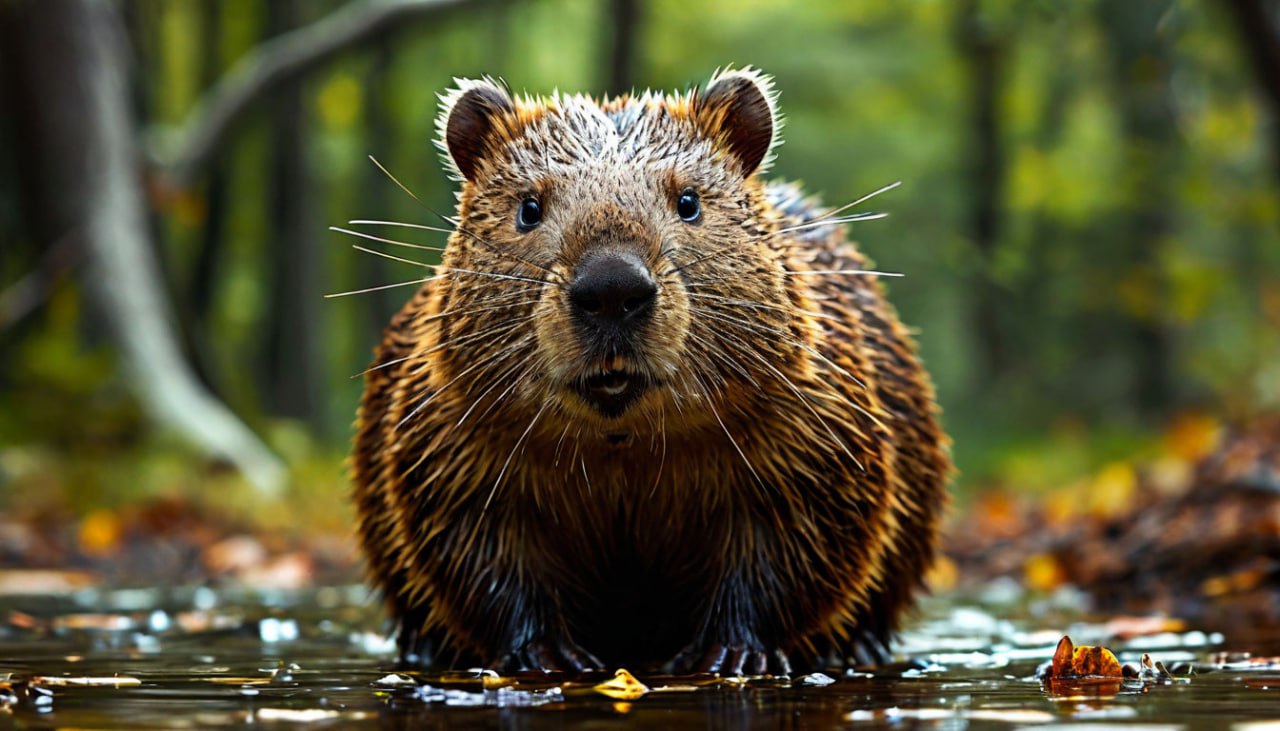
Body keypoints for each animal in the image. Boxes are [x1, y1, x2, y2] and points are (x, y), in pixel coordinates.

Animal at [350, 68, 952, 675]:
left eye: (688, 201)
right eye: (528, 208)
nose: (612, 289)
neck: (623, 444)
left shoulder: (814, 412)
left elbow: (803, 532)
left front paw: (729, 653)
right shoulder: (447, 424)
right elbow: (471, 540)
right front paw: (546, 653)